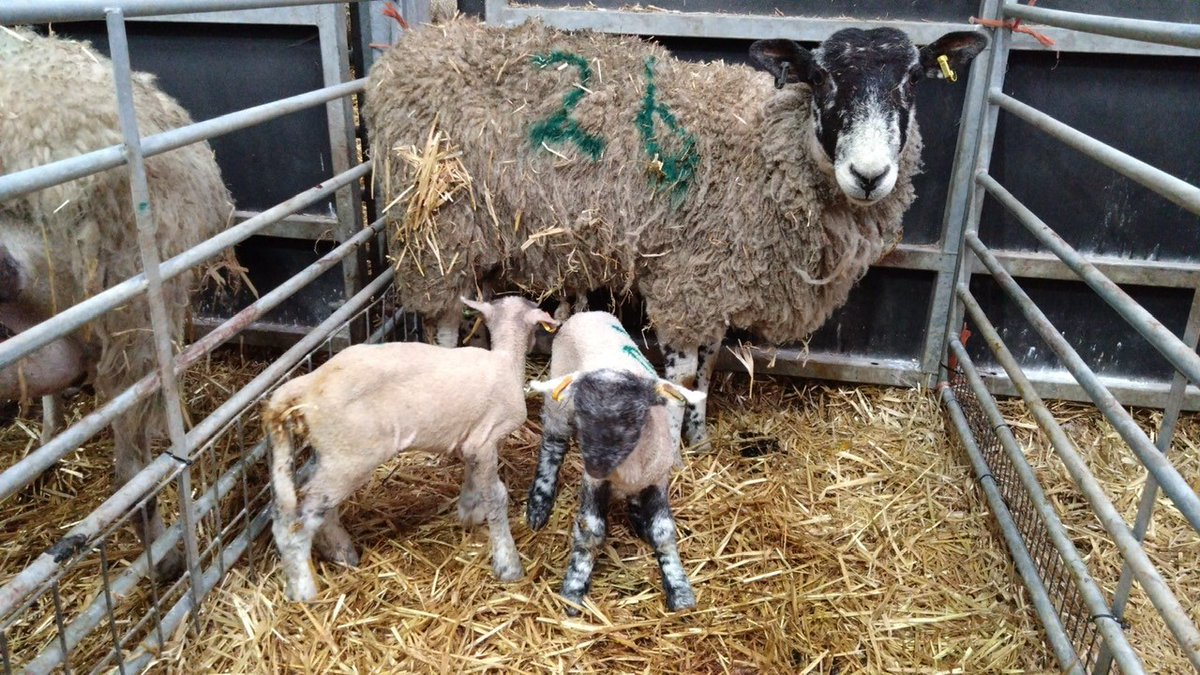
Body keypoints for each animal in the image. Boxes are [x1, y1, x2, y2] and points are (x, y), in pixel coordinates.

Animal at [265, 295, 558, 602]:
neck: (507, 359)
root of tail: (305, 386)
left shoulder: (471, 442)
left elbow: (472, 477)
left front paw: (468, 511)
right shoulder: (486, 438)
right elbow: (496, 497)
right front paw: (508, 564)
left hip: (329, 452)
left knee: (309, 502)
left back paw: (341, 551)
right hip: (350, 457)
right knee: (298, 519)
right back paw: (303, 589)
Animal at [364, 18, 986, 447]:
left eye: (913, 78)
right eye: (821, 78)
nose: (869, 174)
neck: (762, 147)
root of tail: (416, 44)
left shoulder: (714, 283)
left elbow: (708, 370)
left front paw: (701, 436)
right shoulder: (689, 284)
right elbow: (686, 374)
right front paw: (680, 445)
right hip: (435, 232)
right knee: (442, 321)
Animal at [526, 311, 706, 614]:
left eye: (633, 418)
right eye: (584, 416)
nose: (595, 465)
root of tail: (586, 313)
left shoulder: (658, 479)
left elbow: (663, 531)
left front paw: (680, 590)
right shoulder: (593, 483)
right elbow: (591, 531)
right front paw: (573, 589)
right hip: (558, 404)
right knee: (553, 445)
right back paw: (539, 503)